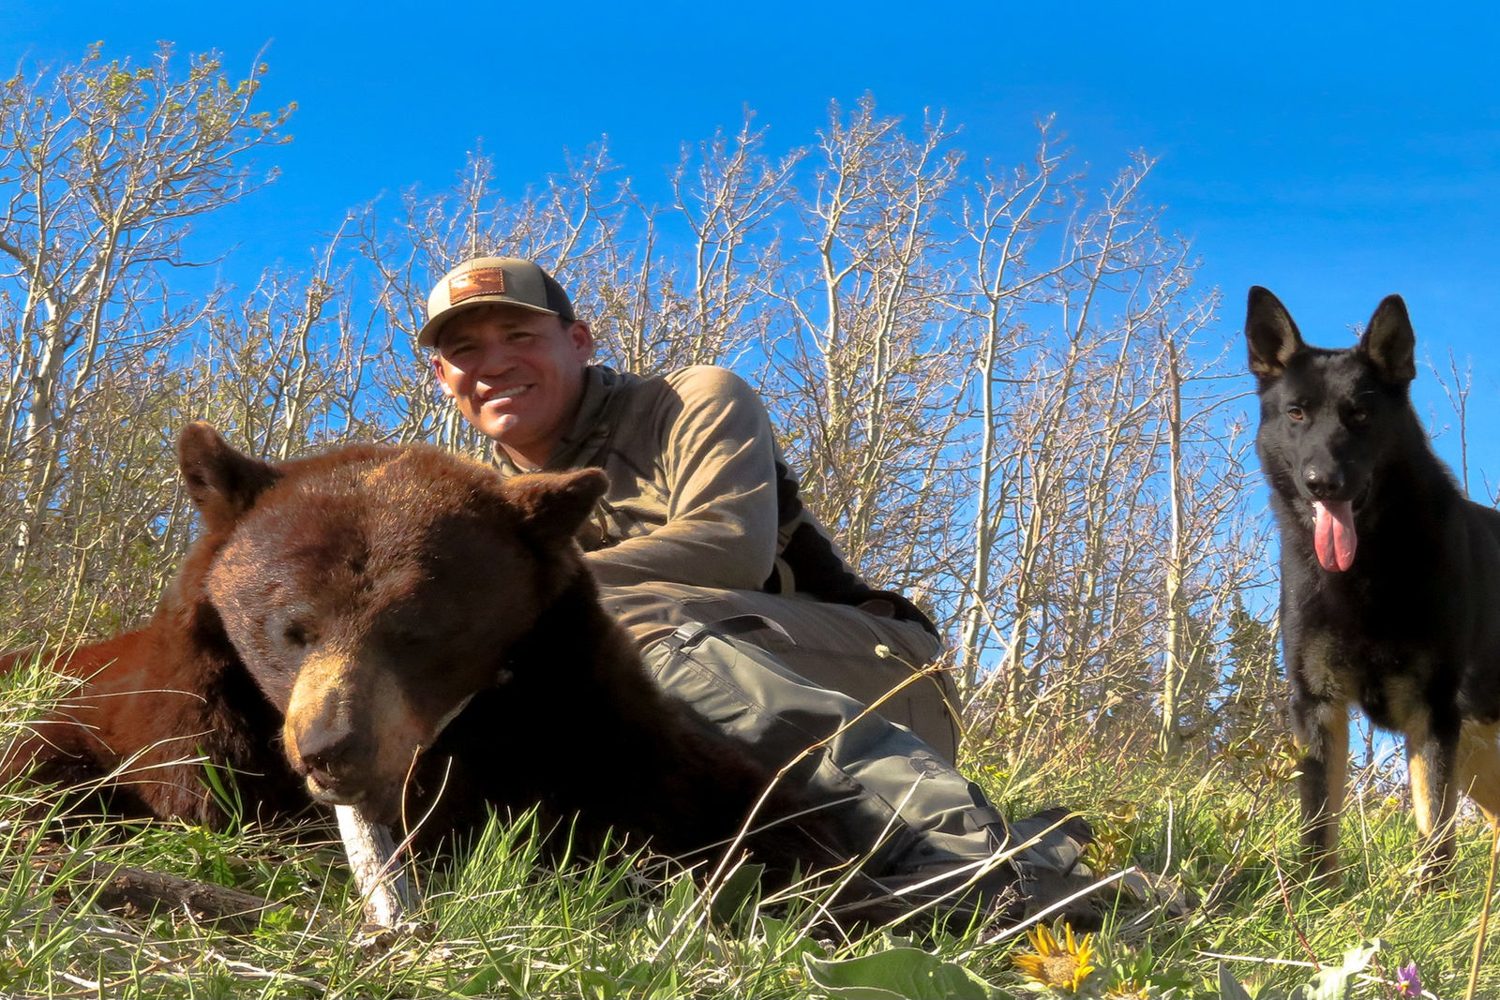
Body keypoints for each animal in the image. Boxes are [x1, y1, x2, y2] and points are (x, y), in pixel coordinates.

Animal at [2, 423, 838, 921]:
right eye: (292, 629)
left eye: (419, 633)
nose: (332, 749)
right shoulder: (170, 716)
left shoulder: (580, 705)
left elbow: (733, 801)